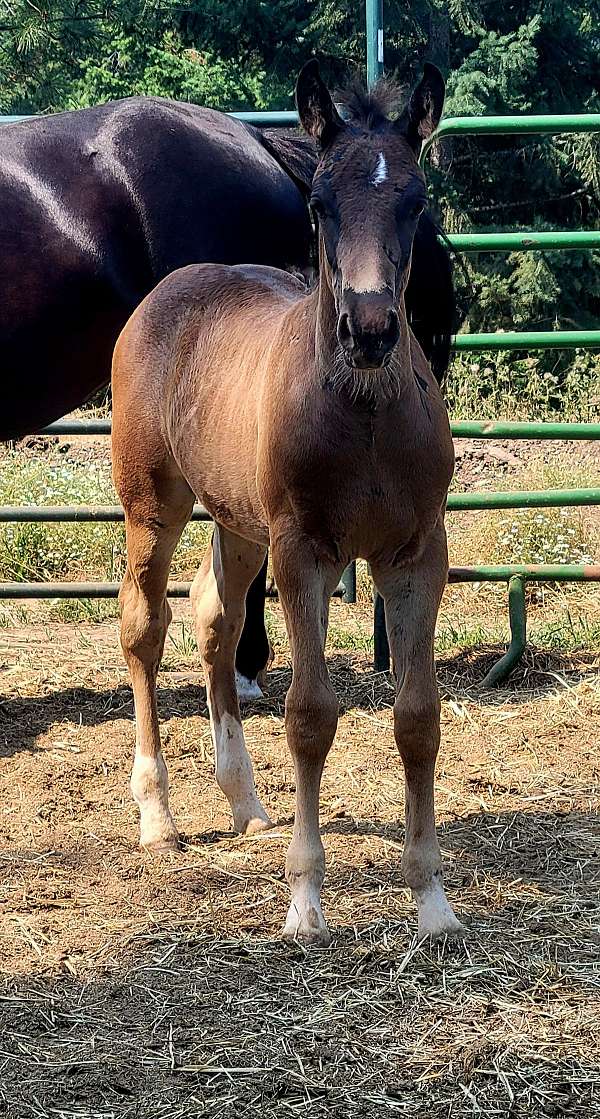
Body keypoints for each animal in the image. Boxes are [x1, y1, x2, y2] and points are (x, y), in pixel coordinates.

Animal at [111, 60, 463, 947]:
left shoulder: (417, 554)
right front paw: (305, 902)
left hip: (238, 520)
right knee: (144, 627)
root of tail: (173, 289)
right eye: (319, 204)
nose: (370, 327)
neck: (364, 413)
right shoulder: (303, 550)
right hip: (153, 506)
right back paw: (159, 817)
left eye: (416, 202)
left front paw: (432, 901)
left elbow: (418, 715)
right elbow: (310, 715)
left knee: (214, 614)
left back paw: (246, 802)